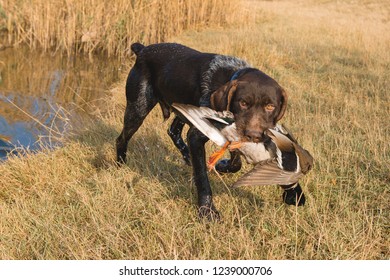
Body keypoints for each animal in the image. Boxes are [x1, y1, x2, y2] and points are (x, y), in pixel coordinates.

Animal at [116, 42, 304, 221]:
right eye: (243, 103)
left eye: (270, 106)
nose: (253, 135)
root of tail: (142, 49)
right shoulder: (197, 137)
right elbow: (202, 177)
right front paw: (207, 211)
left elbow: (235, 163)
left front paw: (222, 166)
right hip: (138, 109)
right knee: (122, 139)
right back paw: (120, 163)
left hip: (182, 110)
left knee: (173, 131)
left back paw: (186, 156)